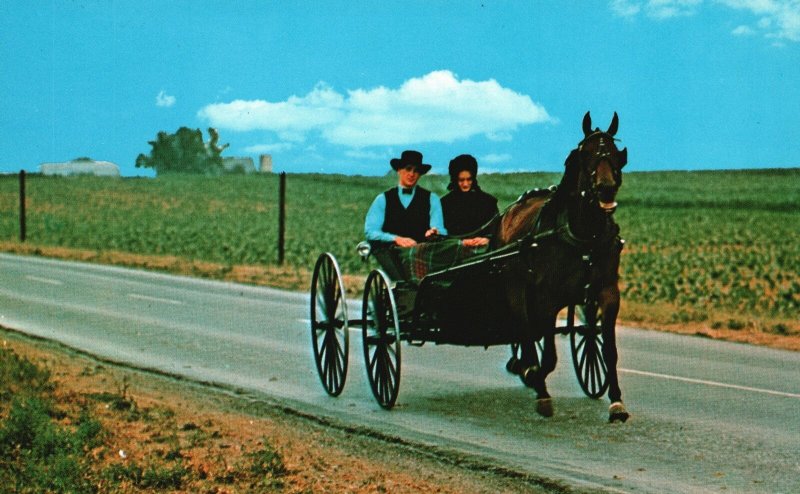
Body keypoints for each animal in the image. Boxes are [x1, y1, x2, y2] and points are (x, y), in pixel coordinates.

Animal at [494, 113, 632, 424]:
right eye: (586, 153)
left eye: (616, 153)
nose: (606, 188)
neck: (584, 235)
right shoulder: (547, 297)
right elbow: (549, 357)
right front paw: (538, 385)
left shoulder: (607, 293)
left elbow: (610, 350)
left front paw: (617, 402)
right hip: (515, 289)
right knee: (525, 330)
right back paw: (527, 370)